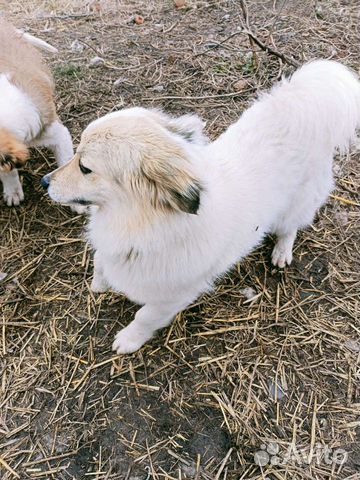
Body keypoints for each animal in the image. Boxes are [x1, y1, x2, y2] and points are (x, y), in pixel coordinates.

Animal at [43, 59, 360, 352]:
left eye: (85, 168)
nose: (45, 181)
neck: (142, 222)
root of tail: (300, 106)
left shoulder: (172, 295)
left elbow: (144, 317)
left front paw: (129, 339)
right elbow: (100, 261)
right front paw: (100, 282)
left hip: (295, 206)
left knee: (290, 228)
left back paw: (282, 252)